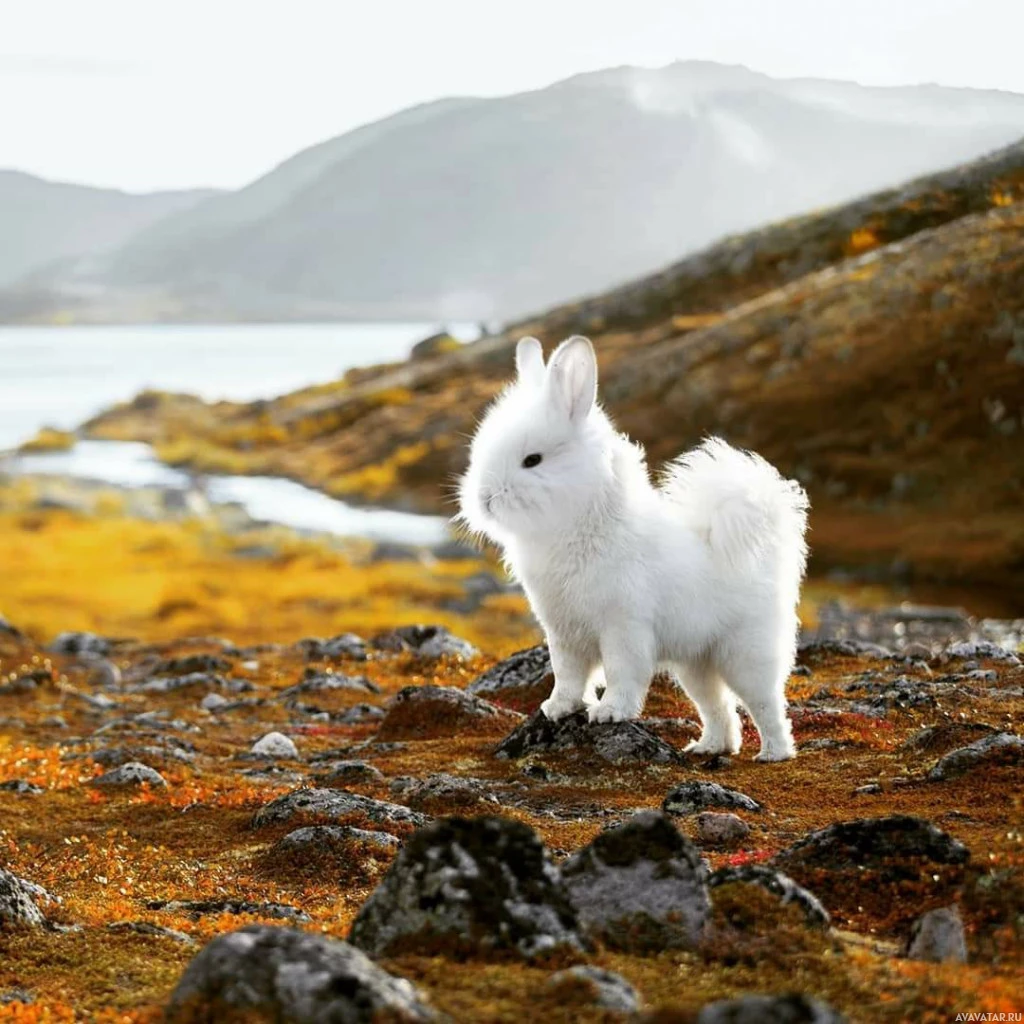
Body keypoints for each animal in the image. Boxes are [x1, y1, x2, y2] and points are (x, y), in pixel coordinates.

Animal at [462, 335, 806, 761]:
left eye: (532, 460)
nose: (485, 499)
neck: (582, 522)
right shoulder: (564, 633)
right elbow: (568, 676)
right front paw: (557, 709)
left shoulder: (623, 626)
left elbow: (620, 672)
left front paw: (610, 713)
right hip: (695, 665)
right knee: (718, 709)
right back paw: (707, 747)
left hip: (744, 654)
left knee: (766, 705)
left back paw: (774, 753)